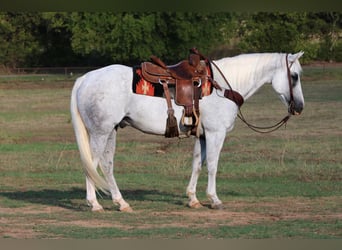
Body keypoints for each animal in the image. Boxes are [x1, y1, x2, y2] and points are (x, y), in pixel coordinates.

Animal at [69, 51, 304, 212]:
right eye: (294, 76)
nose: (299, 107)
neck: (222, 87)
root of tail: (85, 79)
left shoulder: (202, 135)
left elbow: (197, 165)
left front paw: (193, 199)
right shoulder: (216, 133)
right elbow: (212, 166)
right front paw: (214, 199)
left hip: (110, 132)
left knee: (107, 166)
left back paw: (121, 202)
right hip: (100, 133)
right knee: (92, 164)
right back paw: (94, 203)